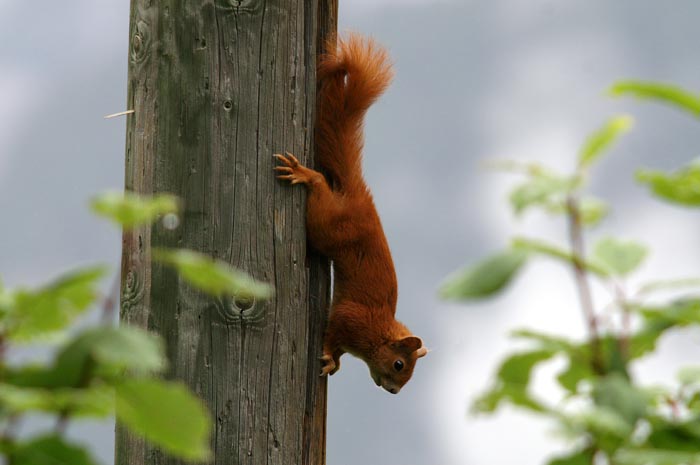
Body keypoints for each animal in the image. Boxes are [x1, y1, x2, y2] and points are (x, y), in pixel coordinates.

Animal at [274, 34, 426, 394]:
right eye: (399, 364)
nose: (393, 391)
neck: (379, 330)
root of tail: (360, 197)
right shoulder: (350, 318)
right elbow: (332, 333)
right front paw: (330, 356)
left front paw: (336, 362)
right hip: (326, 225)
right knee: (319, 187)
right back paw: (304, 174)